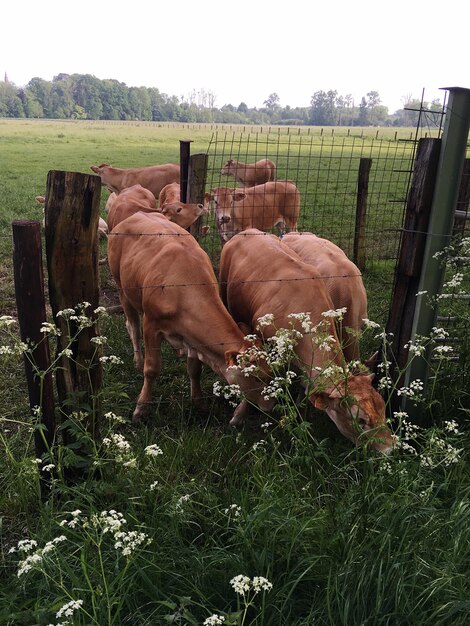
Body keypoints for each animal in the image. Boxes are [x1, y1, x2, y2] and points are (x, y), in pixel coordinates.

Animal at [106, 212, 276, 422]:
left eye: (270, 372)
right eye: (256, 377)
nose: (270, 406)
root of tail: (136, 214)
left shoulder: (193, 336)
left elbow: (195, 369)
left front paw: (199, 401)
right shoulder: (151, 324)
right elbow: (152, 368)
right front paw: (141, 407)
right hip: (122, 287)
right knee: (132, 326)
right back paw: (138, 360)